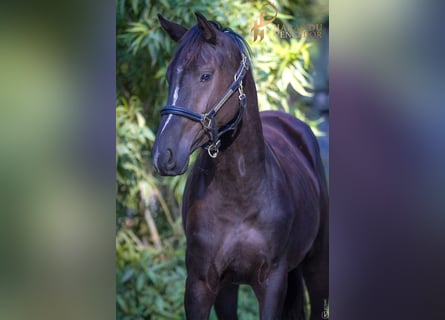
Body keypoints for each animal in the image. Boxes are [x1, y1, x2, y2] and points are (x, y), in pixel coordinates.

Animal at [151, 13, 328, 320]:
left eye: (205, 75)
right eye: (169, 76)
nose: (164, 155)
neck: (240, 192)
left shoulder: (271, 283)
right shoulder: (202, 284)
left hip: (317, 265)